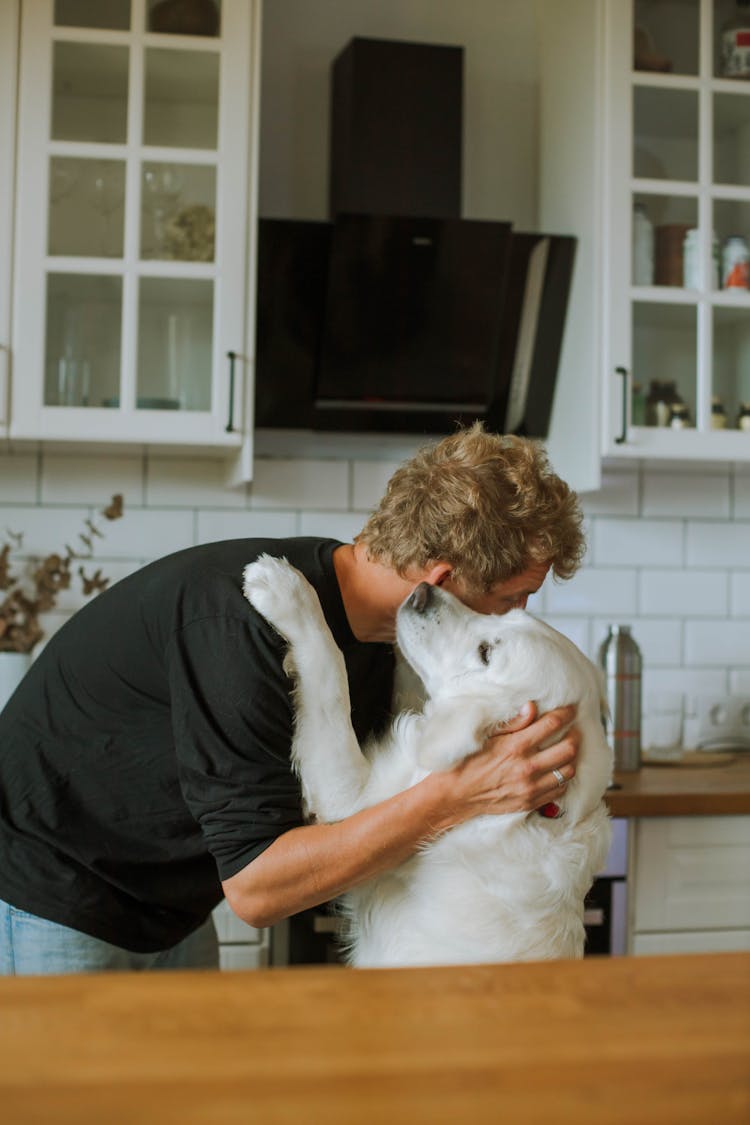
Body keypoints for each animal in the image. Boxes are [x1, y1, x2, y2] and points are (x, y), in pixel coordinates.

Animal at [244, 553, 611, 967]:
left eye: (486, 652)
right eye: (502, 614)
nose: (422, 592)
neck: (538, 814)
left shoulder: (350, 802)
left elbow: (331, 674)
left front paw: (285, 591)